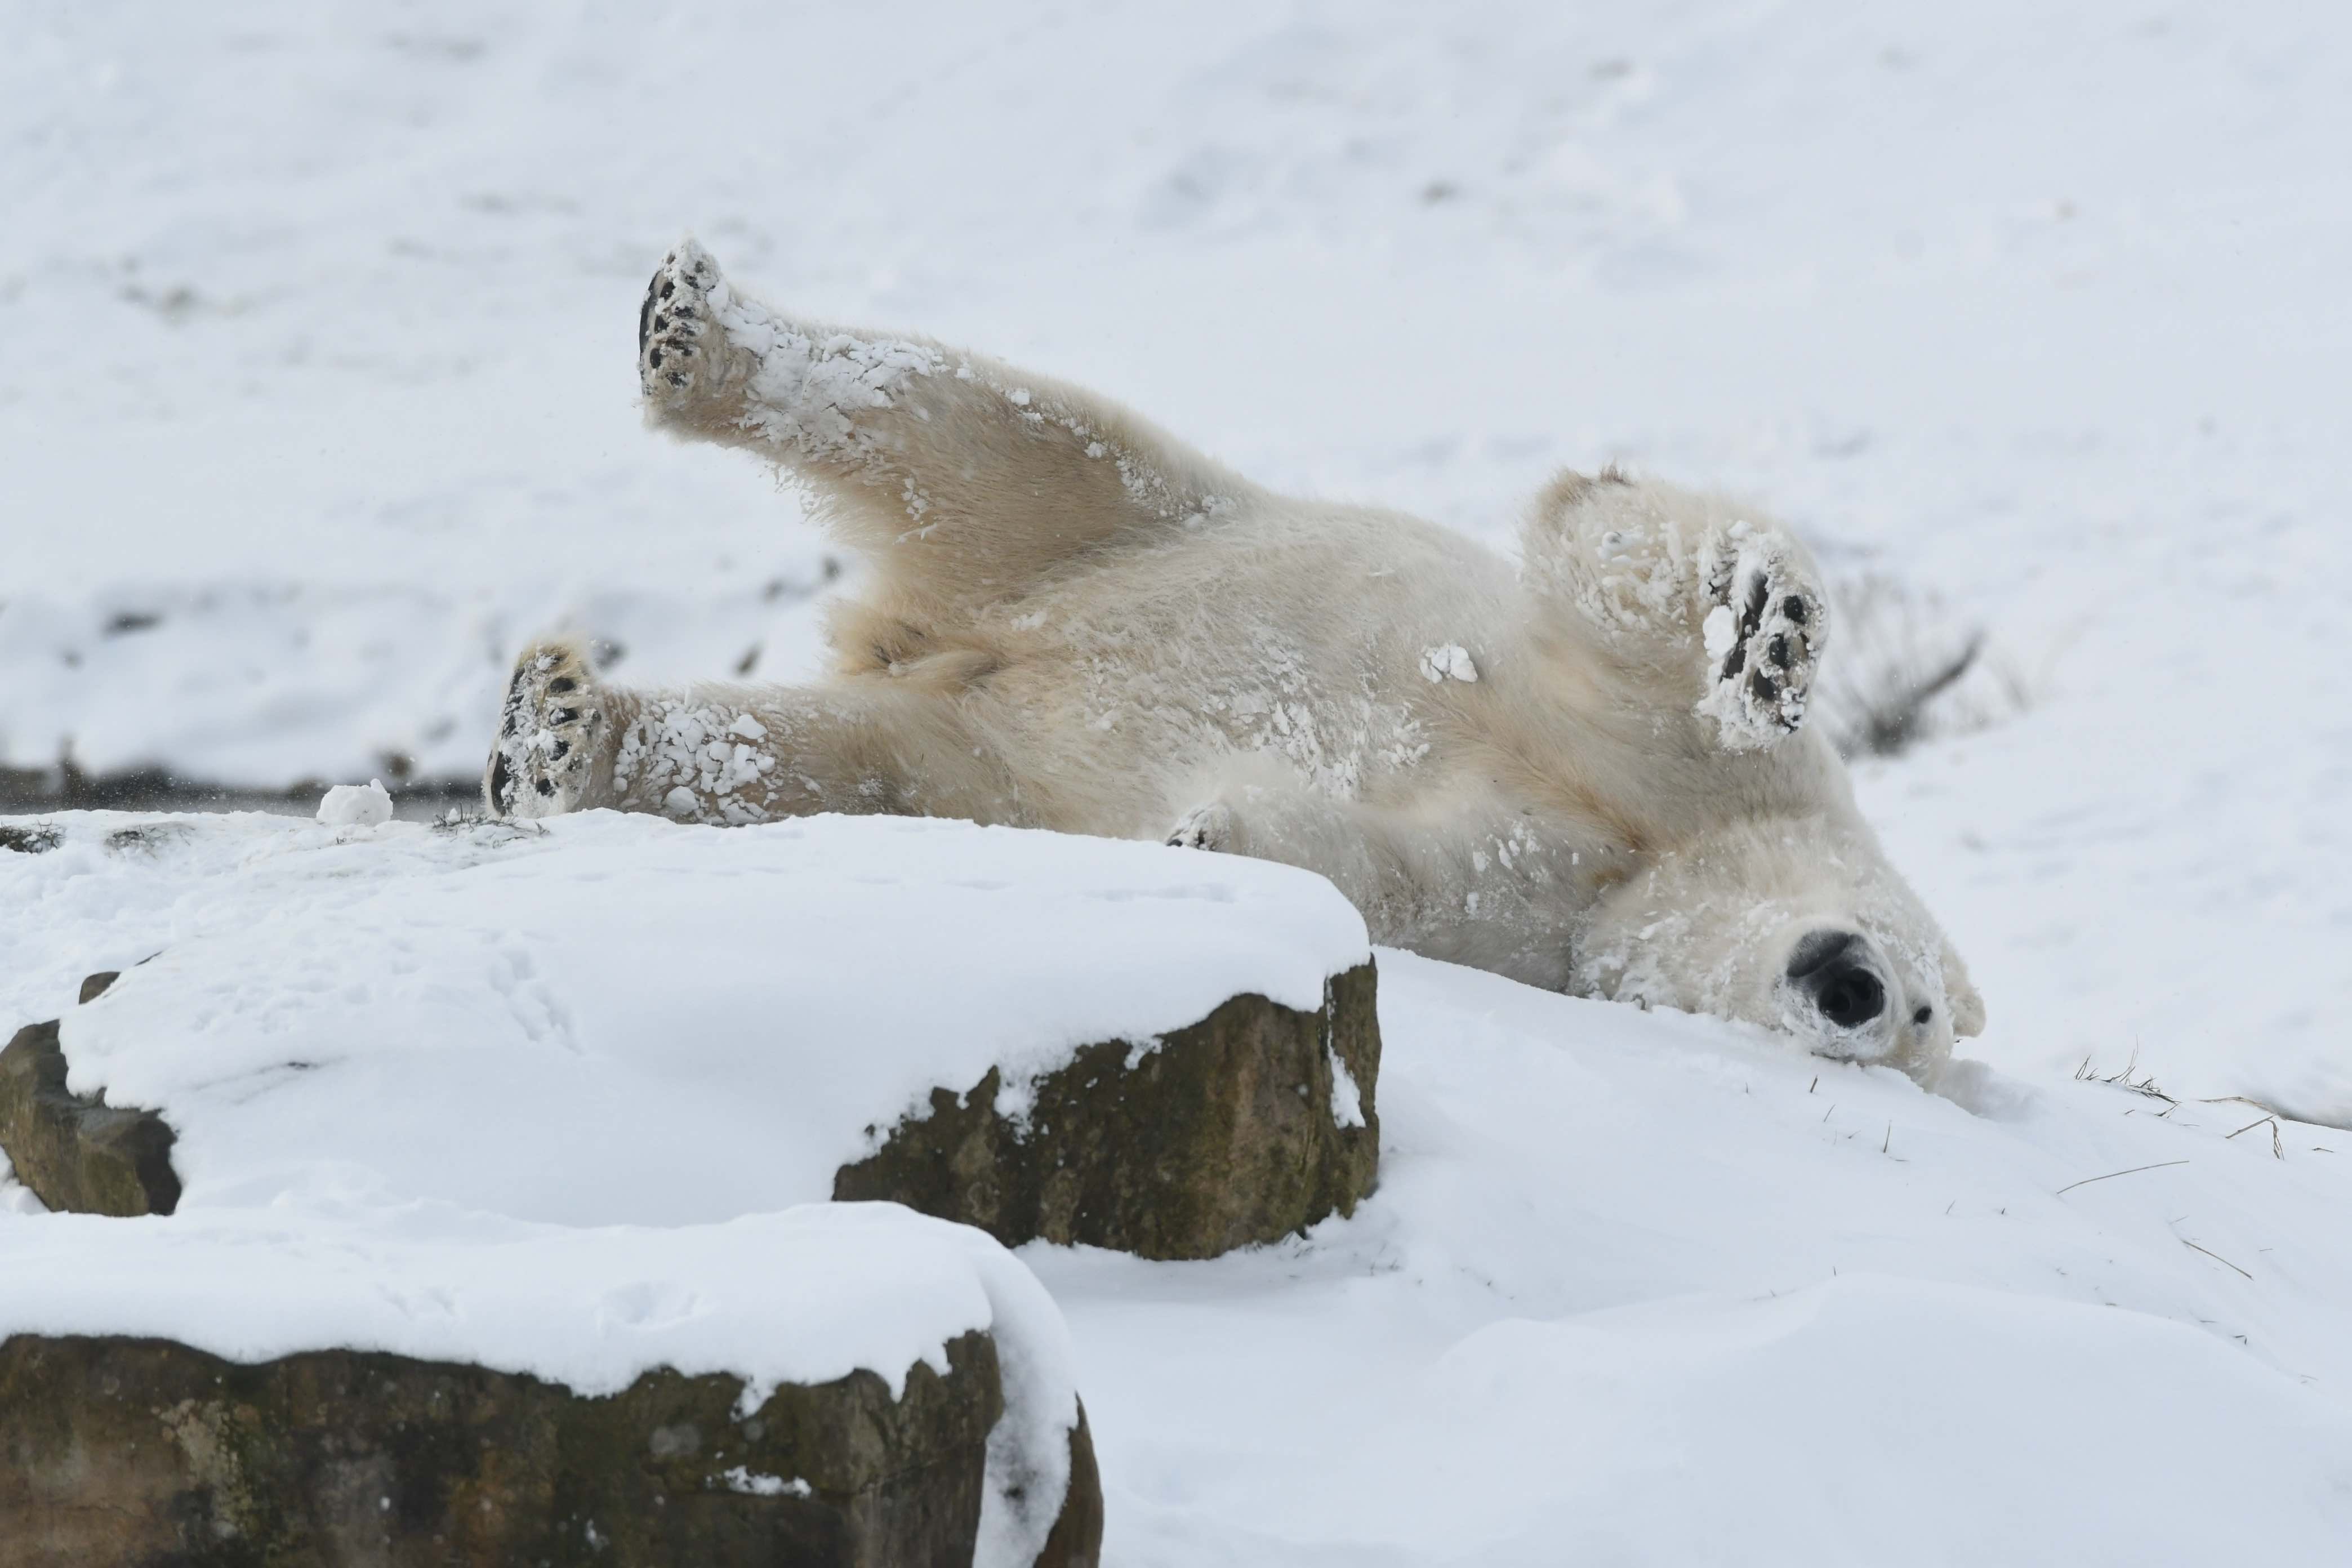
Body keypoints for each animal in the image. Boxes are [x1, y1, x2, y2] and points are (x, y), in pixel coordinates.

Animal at [486, 239, 1983, 1082]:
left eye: (1914, 1029)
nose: (1851, 989)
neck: (1653, 855)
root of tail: (948, 647)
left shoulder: (1541, 918)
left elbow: (1392, 875)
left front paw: (1212, 839)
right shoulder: (1684, 774)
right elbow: (1609, 557)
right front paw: (1763, 632)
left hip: (975, 761)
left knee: (824, 768)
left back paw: (562, 733)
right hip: (1156, 524)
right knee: (1007, 428)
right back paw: (693, 337)